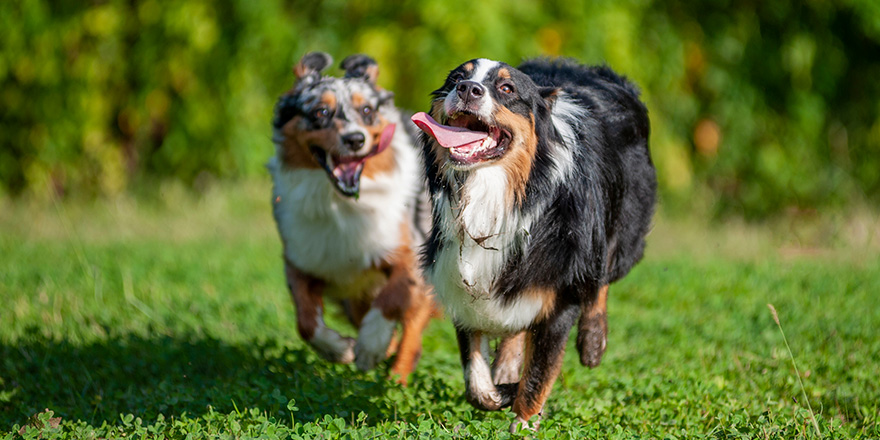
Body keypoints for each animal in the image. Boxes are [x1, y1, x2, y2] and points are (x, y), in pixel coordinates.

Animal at [266, 50, 434, 382]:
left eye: (366, 110)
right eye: (320, 112)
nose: (355, 139)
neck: (340, 202)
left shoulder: (408, 254)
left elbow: (393, 298)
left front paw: (371, 345)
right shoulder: (302, 260)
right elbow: (306, 322)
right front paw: (339, 349)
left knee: (411, 330)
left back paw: (396, 376)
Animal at [410, 56, 652, 432]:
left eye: (507, 89)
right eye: (457, 78)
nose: (467, 89)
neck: (496, 191)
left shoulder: (560, 291)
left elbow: (538, 375)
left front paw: (523, 422)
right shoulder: (460, 276)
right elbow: (476, 383)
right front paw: (503, 390)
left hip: (621, 231)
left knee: (600, 276)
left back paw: (592, 342)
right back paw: (507, 367)